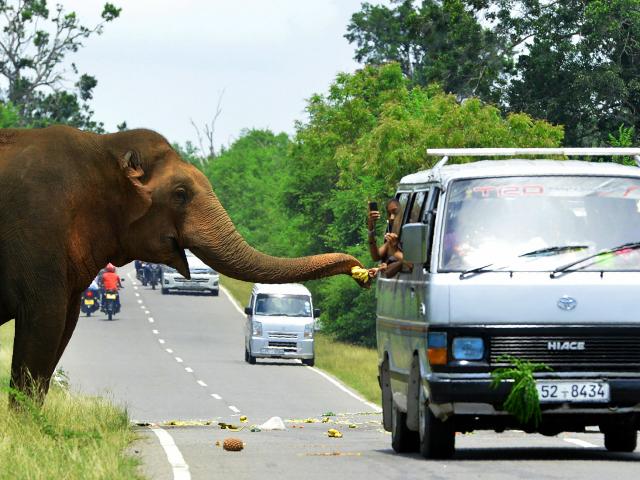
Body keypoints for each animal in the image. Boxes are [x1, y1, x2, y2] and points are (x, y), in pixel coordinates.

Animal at [0, 124, 364, 402]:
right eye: (180, 194)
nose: (359, 269)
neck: (104, 146)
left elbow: (64, 326)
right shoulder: (39, 234)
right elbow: (45, 326)